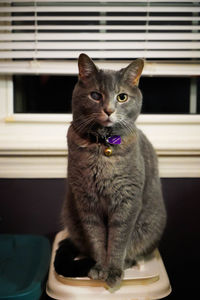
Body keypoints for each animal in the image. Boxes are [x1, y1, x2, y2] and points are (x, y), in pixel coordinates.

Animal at [60, 53, 166, 288]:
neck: (103, 147)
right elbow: (97, 239)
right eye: (95, 95)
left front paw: (114, 270)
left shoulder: (127, 201)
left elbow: (118, 240)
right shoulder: (87, 203)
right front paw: (101, 267)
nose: (109, 110)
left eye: (122, 97)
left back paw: (127, 263)